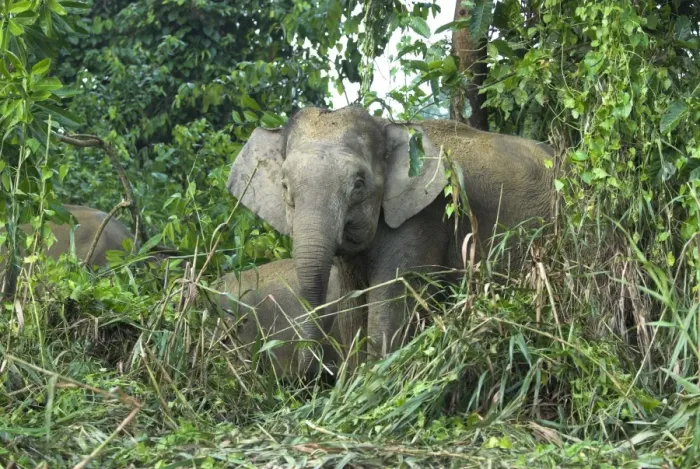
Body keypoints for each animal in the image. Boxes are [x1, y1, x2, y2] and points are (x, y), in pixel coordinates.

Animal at [226, 105, 556, 367]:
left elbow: (391, 304)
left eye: (359, 184)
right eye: (284, 185)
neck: (386, 124)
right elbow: (351, 308)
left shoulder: (424, 216)